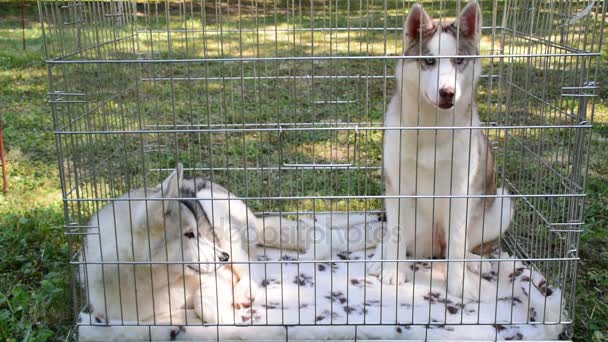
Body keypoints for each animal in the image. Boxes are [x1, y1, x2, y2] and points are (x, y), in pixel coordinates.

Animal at [366, 0, 512, 300]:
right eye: (430, 61)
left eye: (459, 60)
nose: (448, 92)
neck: (432, 127)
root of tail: (432, 248)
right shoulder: (397, 185)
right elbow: (395, 236)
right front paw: (393, 271)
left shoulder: (461, 189)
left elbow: (457, 246)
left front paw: (459, 285)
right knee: (392, 238)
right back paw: (379, 259)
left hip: (502, 202)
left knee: (460, 248)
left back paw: (475, 262)